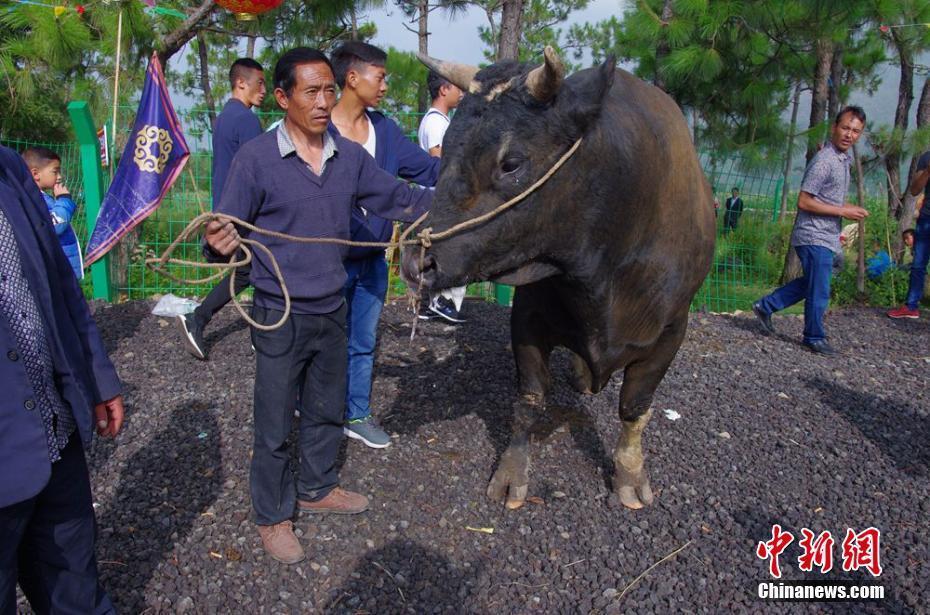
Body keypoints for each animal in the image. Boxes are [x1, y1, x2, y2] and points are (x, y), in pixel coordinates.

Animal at [402, 47, 716, 510]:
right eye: (447, 153)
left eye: (511, 163)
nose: (417, 261)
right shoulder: (528, 317)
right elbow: (530, 398)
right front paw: (512, 474)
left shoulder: (671, 331)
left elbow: (635, 407)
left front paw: (630, 475)